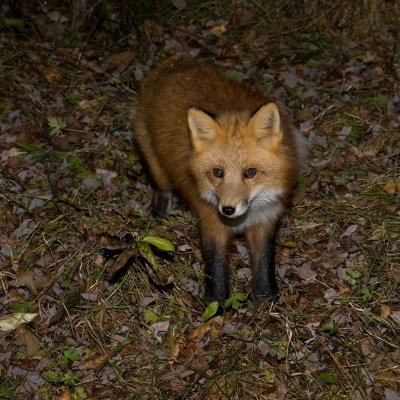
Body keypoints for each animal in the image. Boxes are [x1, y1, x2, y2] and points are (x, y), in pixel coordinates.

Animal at [133, 58, 308, 304]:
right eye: (217, 172)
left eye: (250, 172)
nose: (227, 209)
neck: (242, 220)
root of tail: (173, 63)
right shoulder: (211, 222)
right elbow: (215, 267)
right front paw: (215, 304)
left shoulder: (265, 219)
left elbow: (264, 263)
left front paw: (266, 299)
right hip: (155, 164)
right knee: (162, 187)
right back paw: (160, 212)